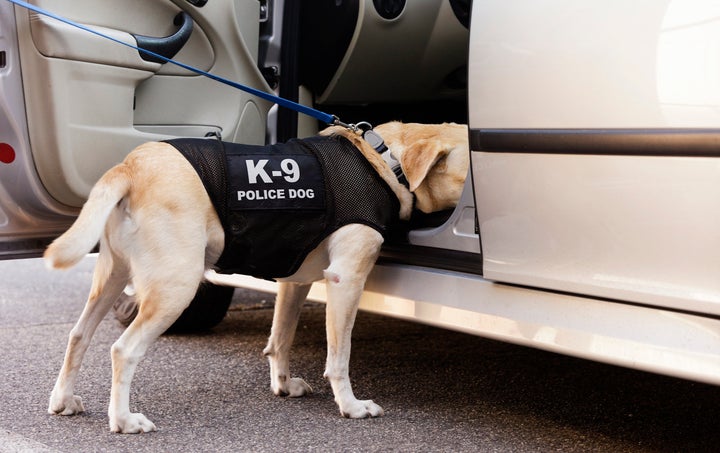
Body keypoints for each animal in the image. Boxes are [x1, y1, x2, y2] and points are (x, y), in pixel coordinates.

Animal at [46, 120, 472, 430]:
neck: (382, 158)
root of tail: (132, 165)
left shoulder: (294, 280)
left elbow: (281, 338)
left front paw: (282, 384)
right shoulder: (346, 279)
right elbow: (339, 356)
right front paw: (350, 406)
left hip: (112, 277)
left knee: (79, 335)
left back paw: (63, 399)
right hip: (176, 285)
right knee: (123, 349)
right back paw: (122, 420)